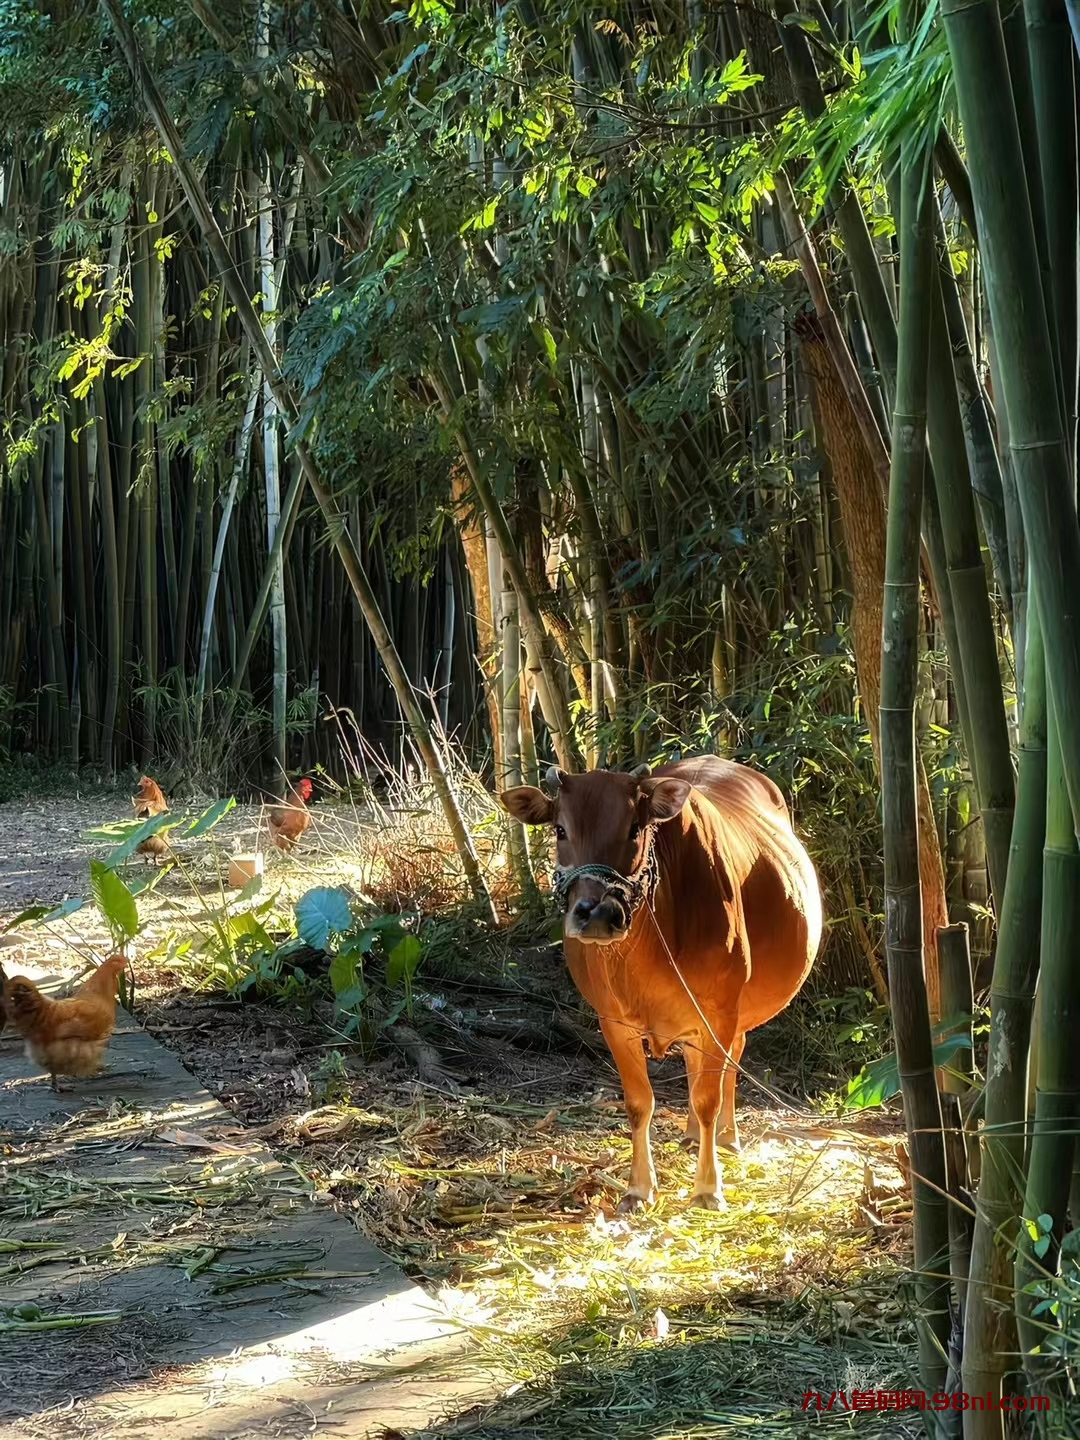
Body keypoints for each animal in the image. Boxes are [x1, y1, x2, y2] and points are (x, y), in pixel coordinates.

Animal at [504, 760, 823, 1209]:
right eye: (560, 829)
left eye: (635, 828)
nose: (597, 913)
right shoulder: (612, 1021)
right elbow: (640, 1104)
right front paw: (639, 1187)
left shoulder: (720, 1012)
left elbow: (708, 1098)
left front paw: (708, 1186)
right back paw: (690, 1136)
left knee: (731, 1061)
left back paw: (727, 1136)